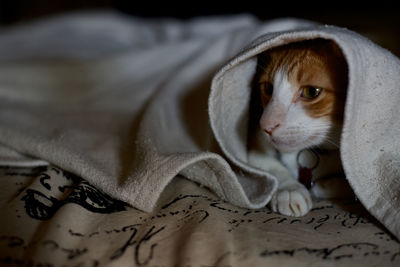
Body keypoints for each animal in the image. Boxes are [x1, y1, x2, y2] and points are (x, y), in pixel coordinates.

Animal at [248, 38, 354, 218]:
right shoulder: (254, 145)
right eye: (268, 88)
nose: (266, 126)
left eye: (311, 91)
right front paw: (290, 190)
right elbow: (271, 168)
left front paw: (326, 186)